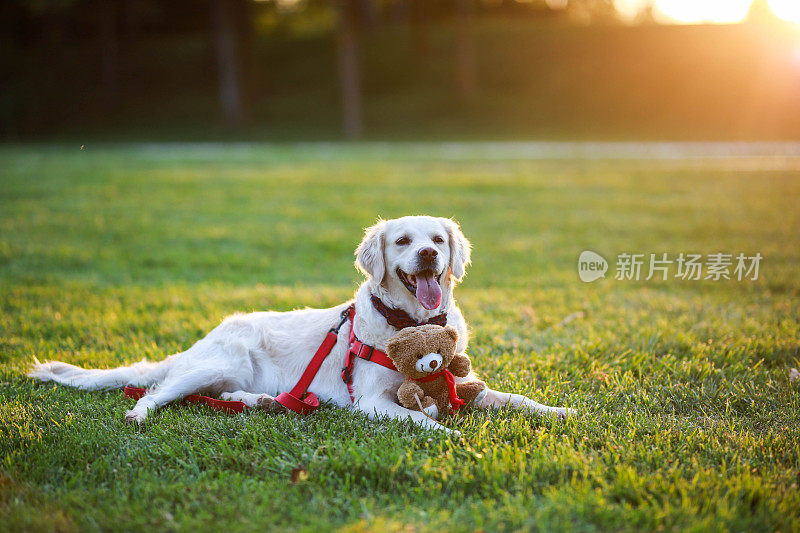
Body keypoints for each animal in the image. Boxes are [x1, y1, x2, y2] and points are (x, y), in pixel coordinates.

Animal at [31, 216, 568, 432]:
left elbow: (509, 398)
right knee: (157, 392)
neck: (411, 325)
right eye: (402, 241)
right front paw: (450, 434)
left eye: (437, 239)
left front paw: (556, 410)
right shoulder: (372, 401)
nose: (429, 255)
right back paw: (139, 416)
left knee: (222, 397)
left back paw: (260, 402)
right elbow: (421, 417)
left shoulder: (463, 380)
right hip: (214, 363)